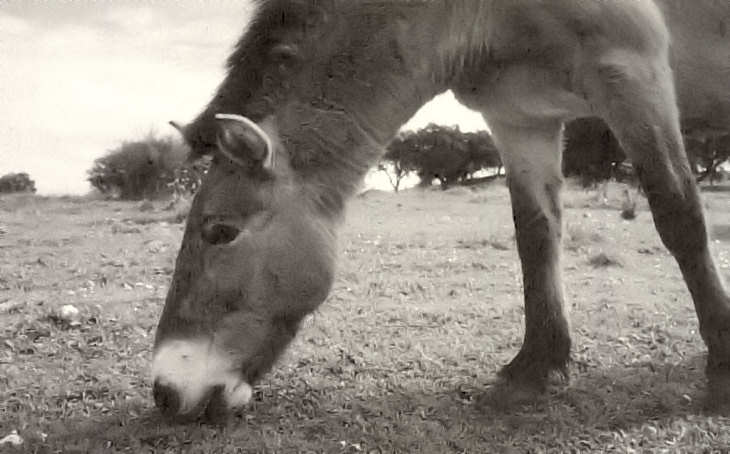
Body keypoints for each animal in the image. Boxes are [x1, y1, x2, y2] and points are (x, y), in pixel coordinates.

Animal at [151, 0, 728, 422]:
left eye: (221, 231)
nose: (164, 391)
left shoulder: (633, 74)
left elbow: (679, 215)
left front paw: (722, 368)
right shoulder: (520, 119)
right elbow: (536, 237)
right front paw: (536, 369)